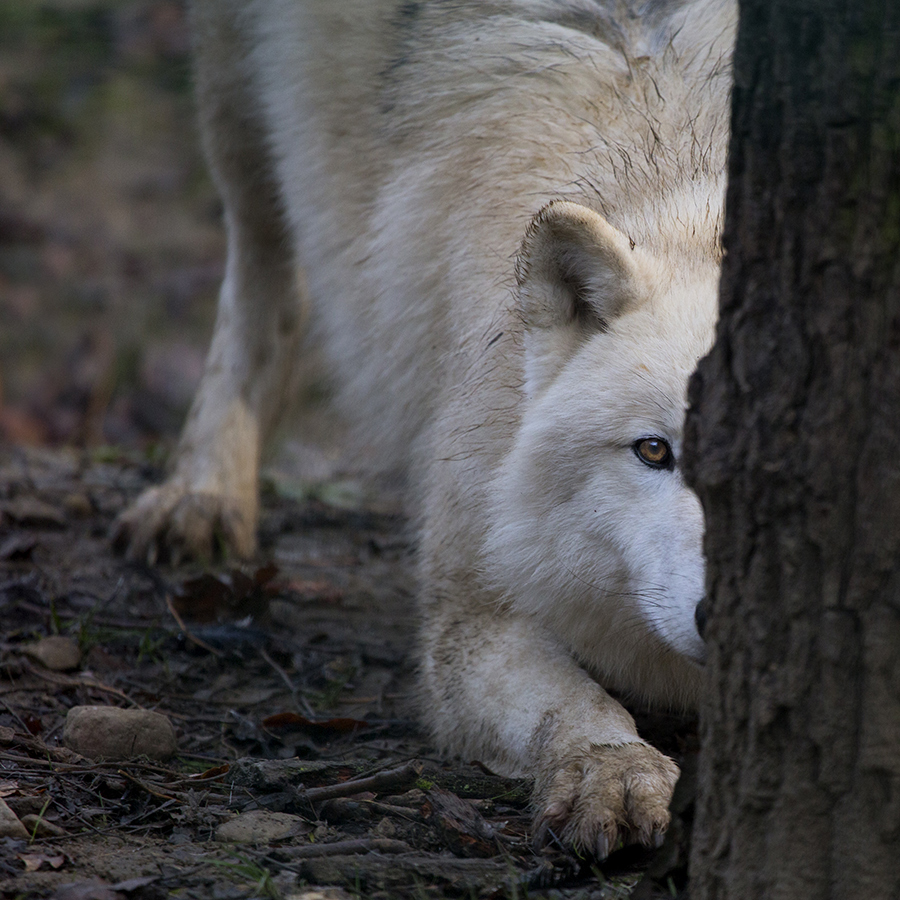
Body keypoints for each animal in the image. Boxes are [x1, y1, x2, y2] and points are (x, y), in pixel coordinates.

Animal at [118, 0, 740, 856]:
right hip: (237, 104)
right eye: (654, 451)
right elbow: (577, 702)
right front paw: (610, 771)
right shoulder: (467, 616)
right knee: (264, 276)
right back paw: (202, 494)